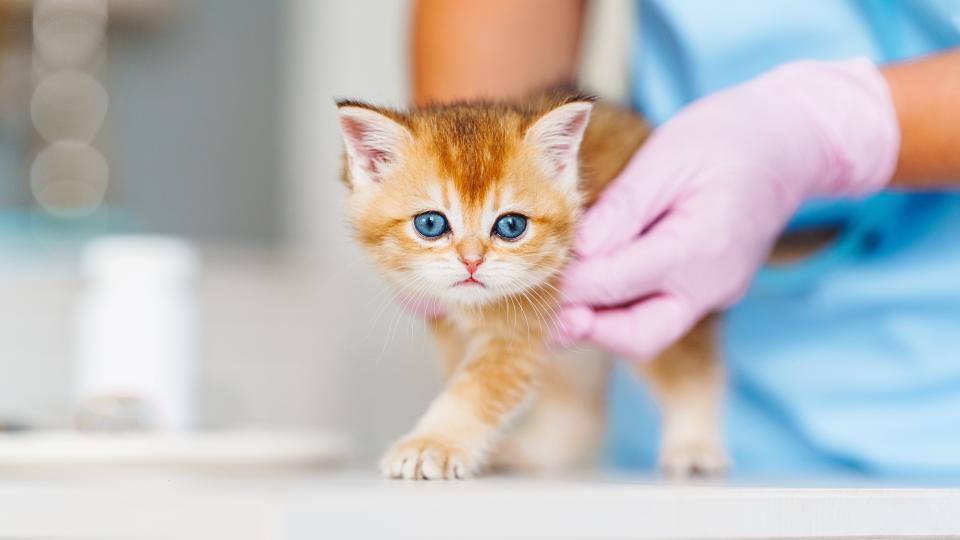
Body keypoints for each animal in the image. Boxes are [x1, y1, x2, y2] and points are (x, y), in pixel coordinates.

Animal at [338, 90, 728, 478]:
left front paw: (433, 444)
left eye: (511, 226)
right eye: (430, 224)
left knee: (692, 370)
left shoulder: (519, 327)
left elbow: (477, 390)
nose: (472, 261)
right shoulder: (447, 324)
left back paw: (694, 446)